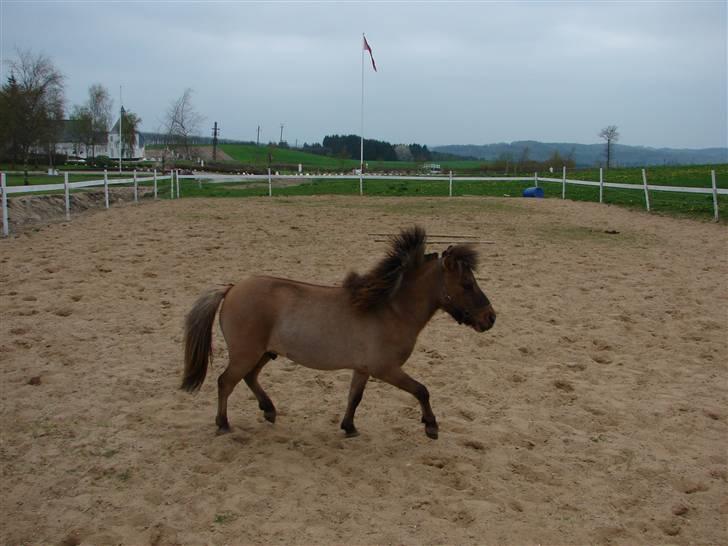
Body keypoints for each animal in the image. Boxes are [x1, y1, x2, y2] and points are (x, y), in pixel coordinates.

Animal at [182, 225, 494, 438]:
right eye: (467, 284)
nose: (490, 318)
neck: (391, 310)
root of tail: (231, 288)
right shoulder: (386, 369)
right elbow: (422, 390)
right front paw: (431, 426)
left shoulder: (363, 369)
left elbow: (354, 397)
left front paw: (349, 427)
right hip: (246, 353)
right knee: (225, 382)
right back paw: (223, 424)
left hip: (265, 353)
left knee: (249, 378)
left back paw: (268, 410)